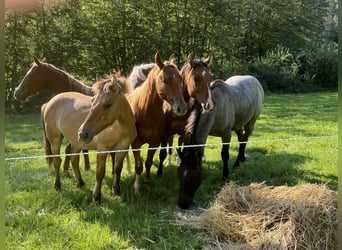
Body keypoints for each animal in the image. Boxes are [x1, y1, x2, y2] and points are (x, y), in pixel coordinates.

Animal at [126, 51, 187, 190]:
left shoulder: (155, 143)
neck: (146, 112)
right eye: (165, 80)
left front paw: (147, 181)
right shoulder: (136, 144)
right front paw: (137, 187)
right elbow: (139, 166)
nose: (181, 107)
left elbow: (148, 163)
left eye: (180, 79)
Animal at [176, 75, 264, 208]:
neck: (215, 108)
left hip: (251, 122)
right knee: (241, 139)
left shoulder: (226, 134)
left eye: (193, 176)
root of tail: (255, 80)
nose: (182, 204)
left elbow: (225, 155)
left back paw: (239, 162)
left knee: (245, 140)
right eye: (179, 173)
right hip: (238, 125)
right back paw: (239, 161)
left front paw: (225, 176)